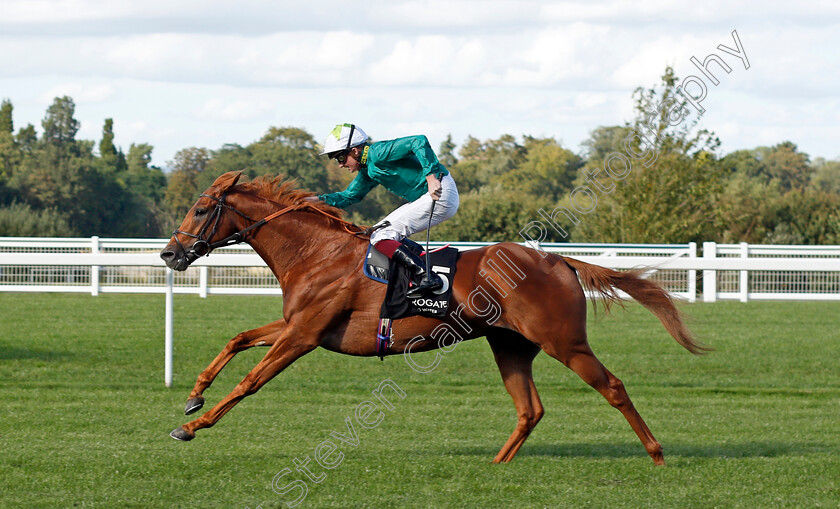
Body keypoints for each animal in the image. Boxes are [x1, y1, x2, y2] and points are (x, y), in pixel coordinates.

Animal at [161, 172, 704, 464]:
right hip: (510, 346)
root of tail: (558, 260)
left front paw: (195, 425)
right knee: (530, 409)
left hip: (564, 342)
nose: (170, 254)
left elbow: (250, 381)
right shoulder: (296, 325)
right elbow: (237, 339)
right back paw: (497, 462)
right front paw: (193, 396)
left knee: (612, 387)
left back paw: (656, 454)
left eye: (201, 209)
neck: (316, 252)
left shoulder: (304, 334)